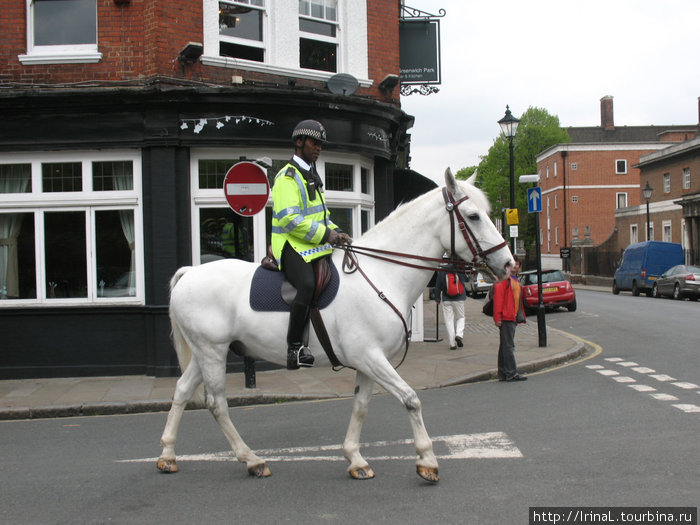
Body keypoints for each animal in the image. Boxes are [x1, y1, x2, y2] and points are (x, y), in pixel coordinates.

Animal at [159, 169, 516, 484]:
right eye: (473, 216)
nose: (510, 264)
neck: (382, 273)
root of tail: (190, 272)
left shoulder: (369, 362)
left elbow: (360, 407)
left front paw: (355, 459)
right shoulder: (371, 357)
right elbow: (411, 399)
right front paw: (427, 461)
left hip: (205, 354)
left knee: (182, 391)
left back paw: (167, 455)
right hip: (212, 352)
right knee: (217, 404)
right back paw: (251, 460)